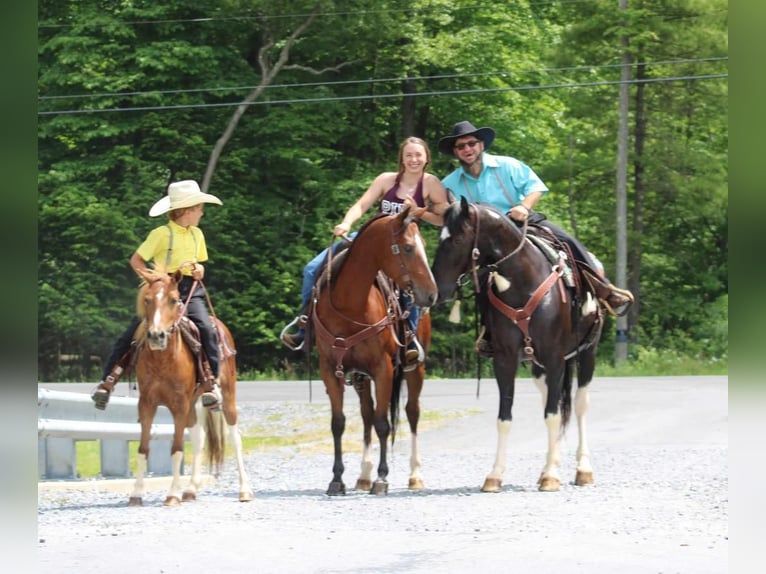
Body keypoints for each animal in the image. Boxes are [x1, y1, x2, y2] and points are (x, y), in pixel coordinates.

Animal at [128, 268, 255, 506]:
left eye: (174, 299)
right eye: (147, 300)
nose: (156, 336)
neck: (163, 360)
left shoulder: (179, 405)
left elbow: (177, 448)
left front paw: (171, 495)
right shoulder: (147, 404)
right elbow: (143, 448)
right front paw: (136, 494)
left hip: (227, 397)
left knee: (235, 438)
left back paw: (245, 490)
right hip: (194, 404)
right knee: (198, 439)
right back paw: (190, 489)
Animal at [312, 206, 440, 496]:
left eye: (424, 246)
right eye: (407, 248)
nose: (431, 294)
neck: (348, 306)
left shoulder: (384, 369)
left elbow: (384, 423)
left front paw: (382, 478)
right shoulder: (330, 370)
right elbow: (339, 423)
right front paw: (337, 479)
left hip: (415, 369)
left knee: (411, 412)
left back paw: (414, 475)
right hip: (360, 377)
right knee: (367, 414)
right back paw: (363, 475)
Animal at [432, 199, 608, 496]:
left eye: (456, 239)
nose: (436, 290)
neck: (523, 283)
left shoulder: (555, 358)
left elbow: (552, 415)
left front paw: (552, 477)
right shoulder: (504, 360)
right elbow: (505, 418)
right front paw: (494, 476)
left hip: (588, 353)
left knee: (580, 405)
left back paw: (583, 469)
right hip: (538, 367)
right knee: (552, 398)